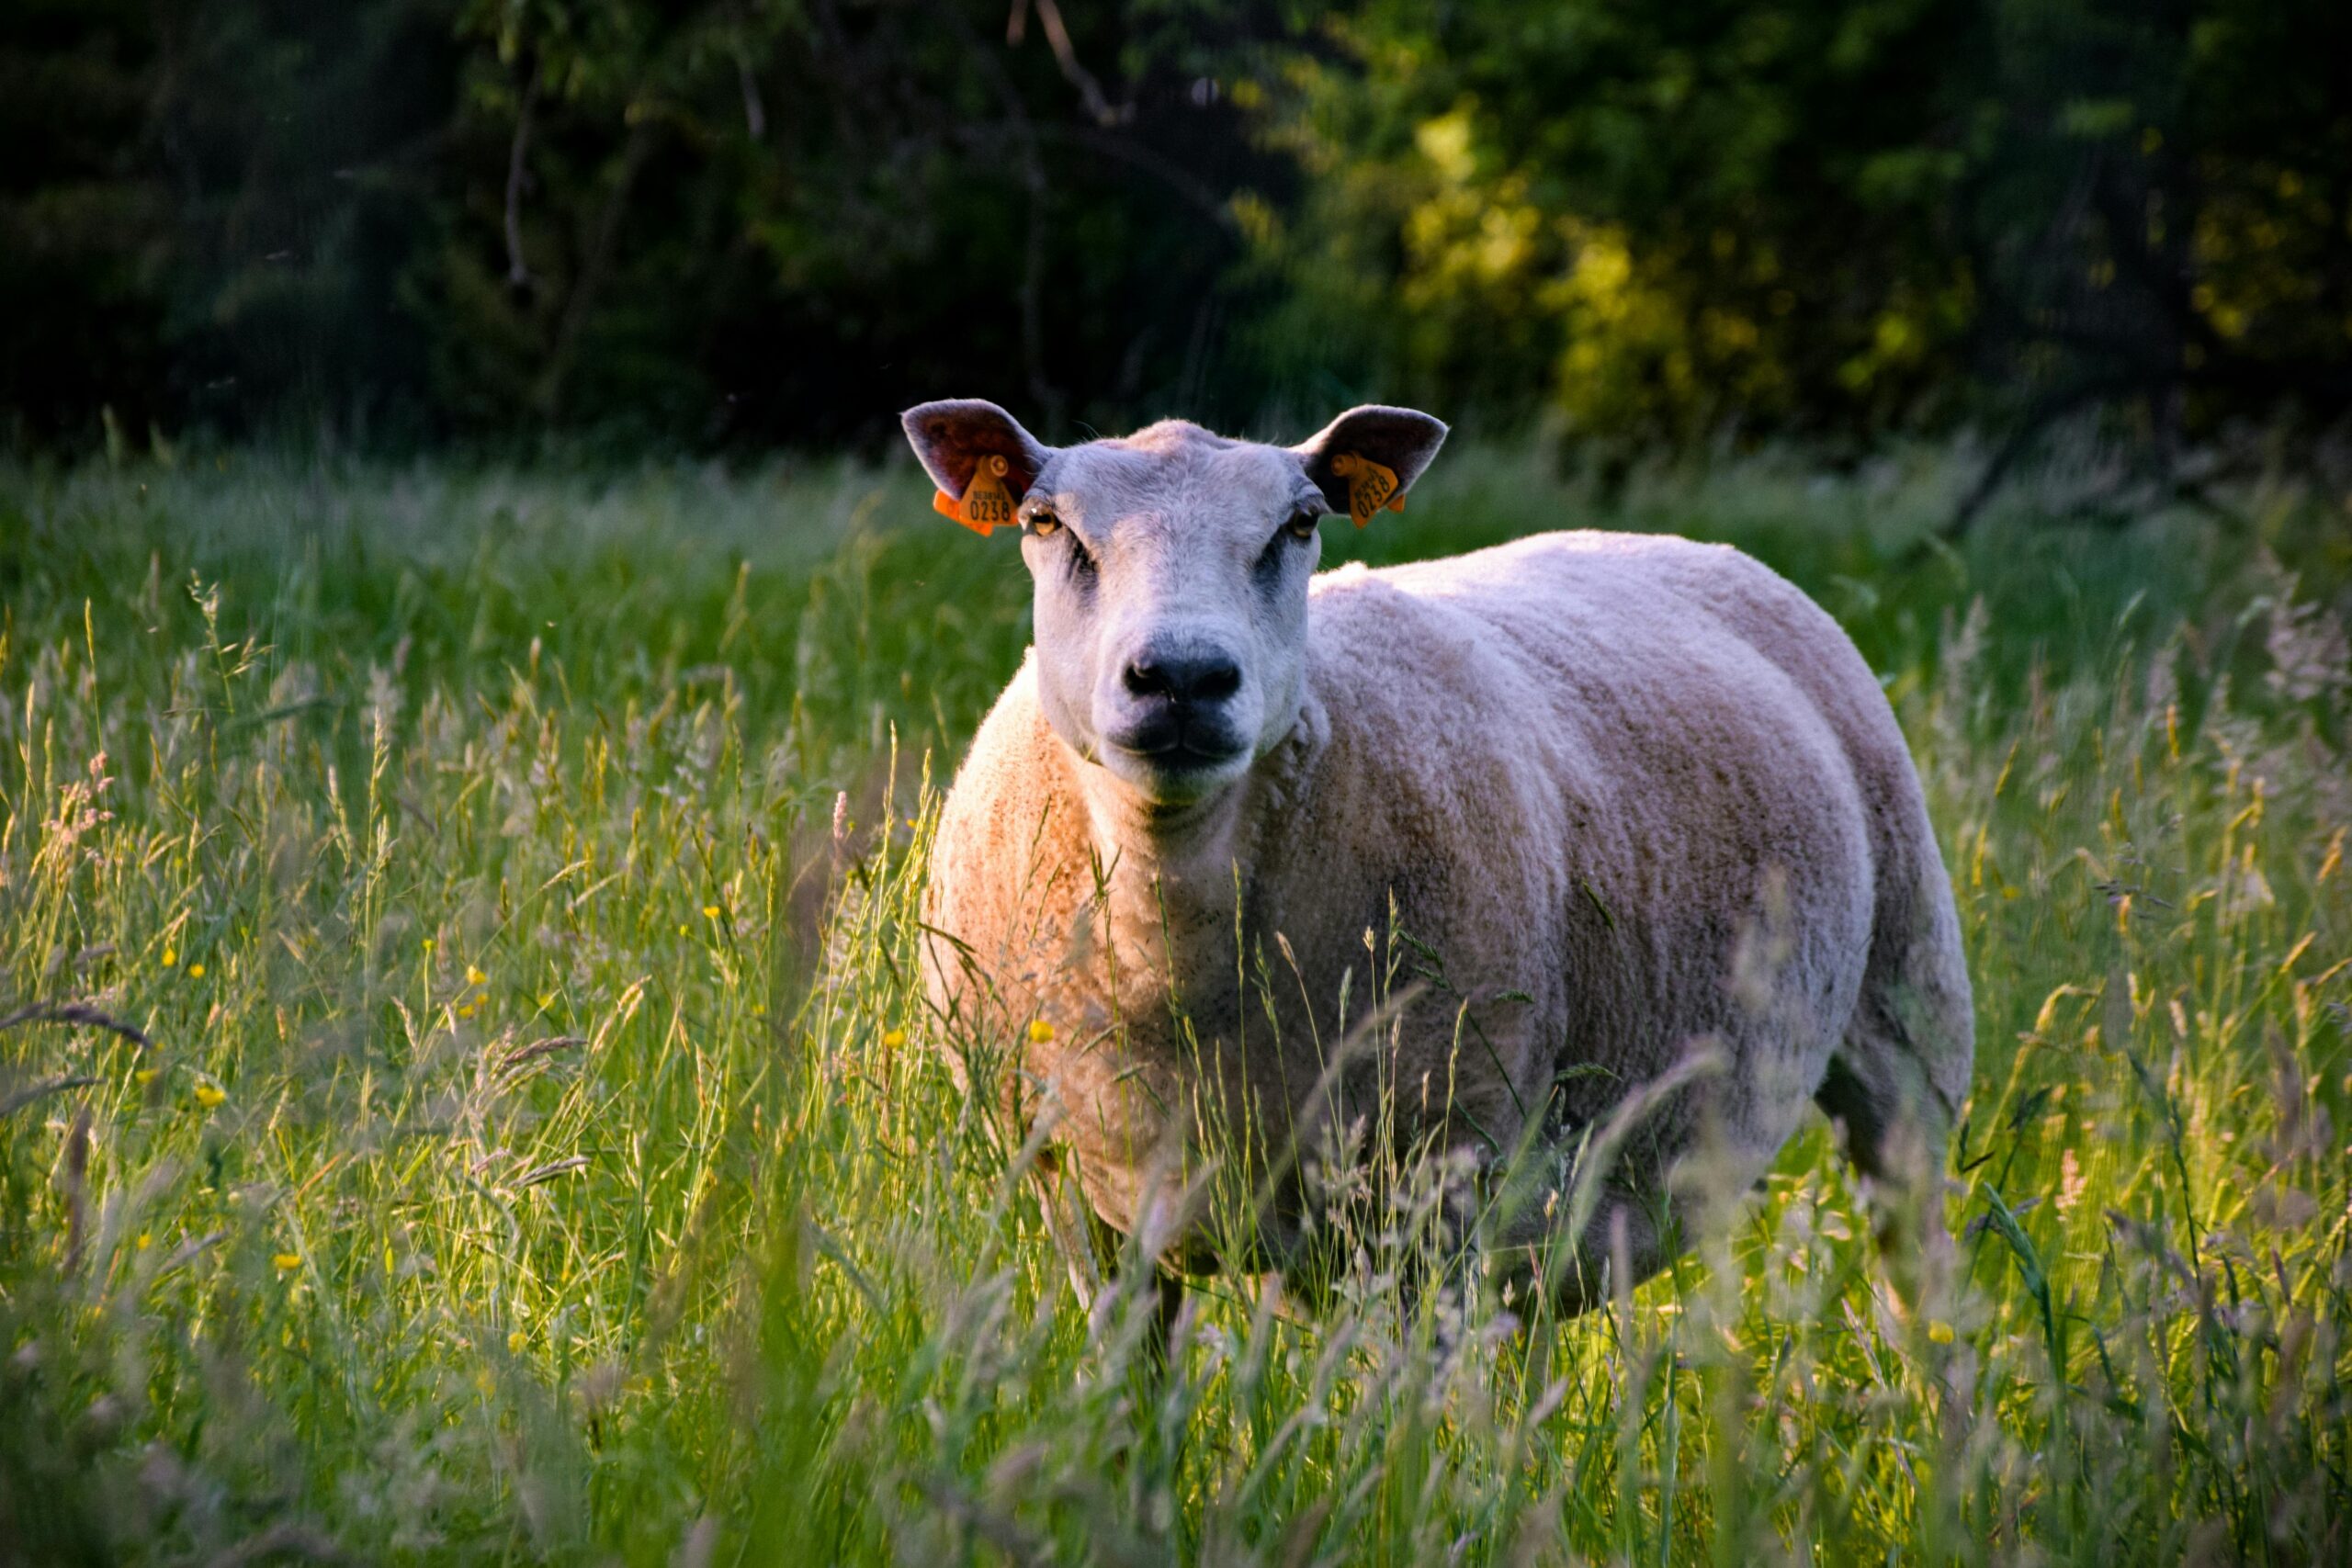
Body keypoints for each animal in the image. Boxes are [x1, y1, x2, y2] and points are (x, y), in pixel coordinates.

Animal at [898, 400, 1966, 1316]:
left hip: (1904, 1022)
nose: (1184, 679)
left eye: (1299, 524)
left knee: (1924, 1280)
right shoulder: (1081, 1208)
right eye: (1045, 522)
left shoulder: (1437, 1182)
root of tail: (1679, 543)